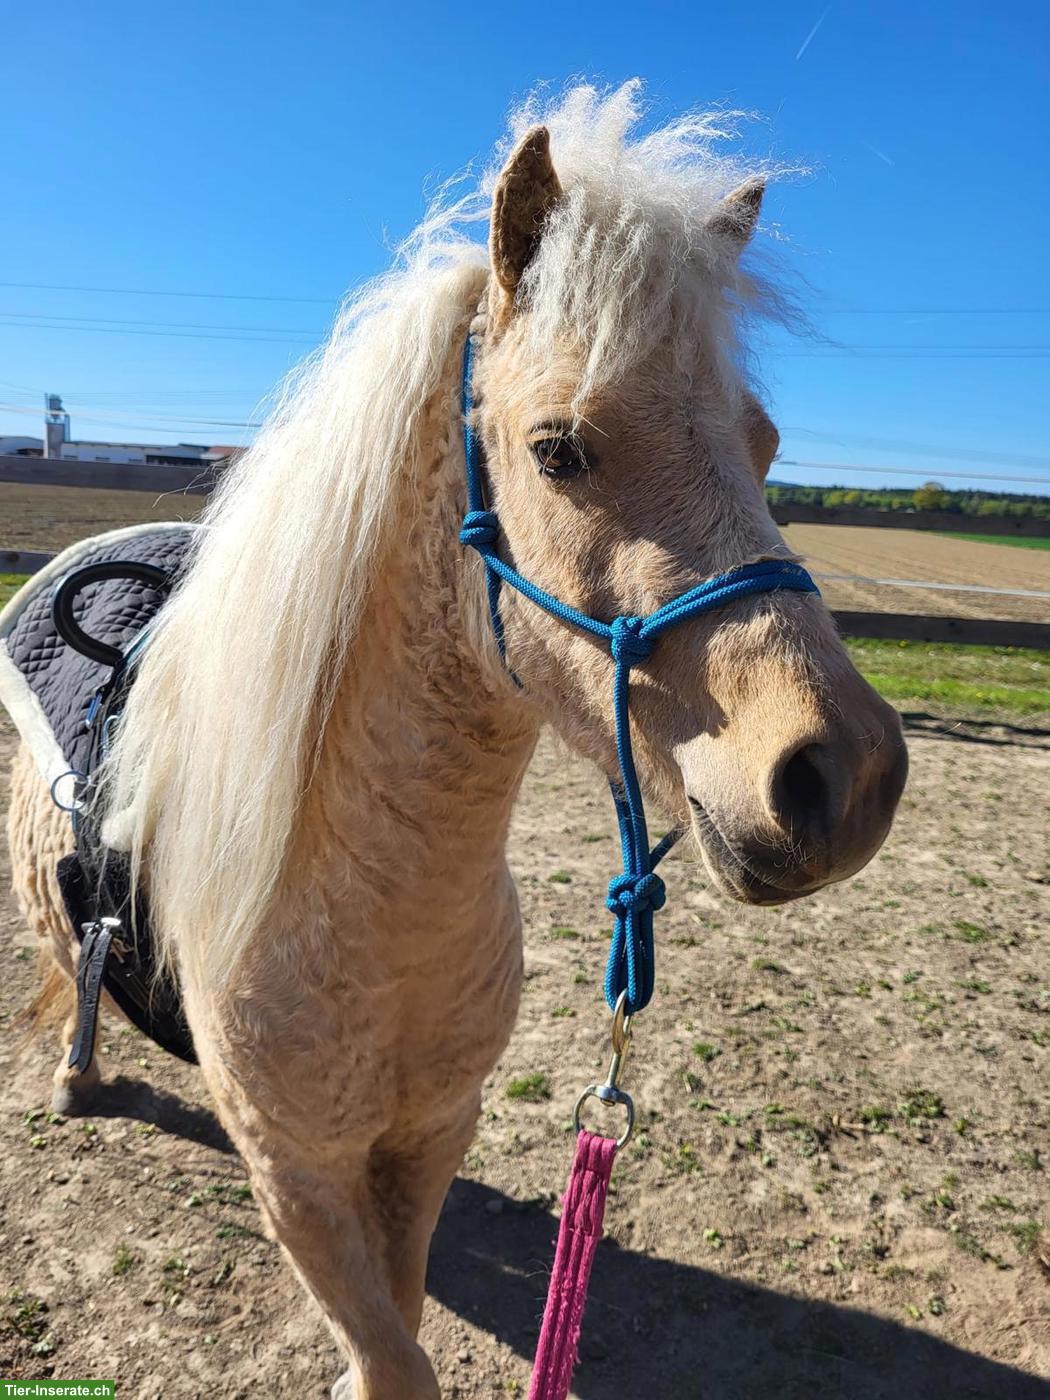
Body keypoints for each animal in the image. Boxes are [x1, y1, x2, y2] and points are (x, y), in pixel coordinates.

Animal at [6, 83, 907, 1398]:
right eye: (557, 448)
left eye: (765, 443)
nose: (847, 777)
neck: (379, 910)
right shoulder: (297, 1176)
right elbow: (393, 1353)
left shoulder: (432, 1135)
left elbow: (407, 1309)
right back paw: (77, 1077)